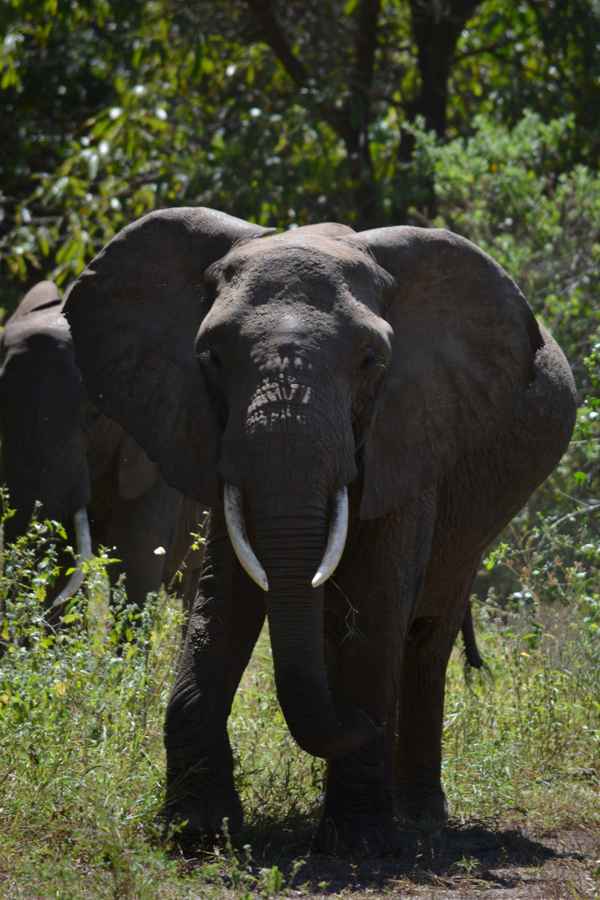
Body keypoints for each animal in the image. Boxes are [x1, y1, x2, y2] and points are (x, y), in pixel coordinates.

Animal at [63, 207, 577, 854]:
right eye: (211, 357)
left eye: (371, 360)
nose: (362, 723)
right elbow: (224, 598)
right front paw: (197, 831)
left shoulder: (410, 428)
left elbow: (377, 601)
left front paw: (359, 841)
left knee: (425, 635)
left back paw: (418, 816)